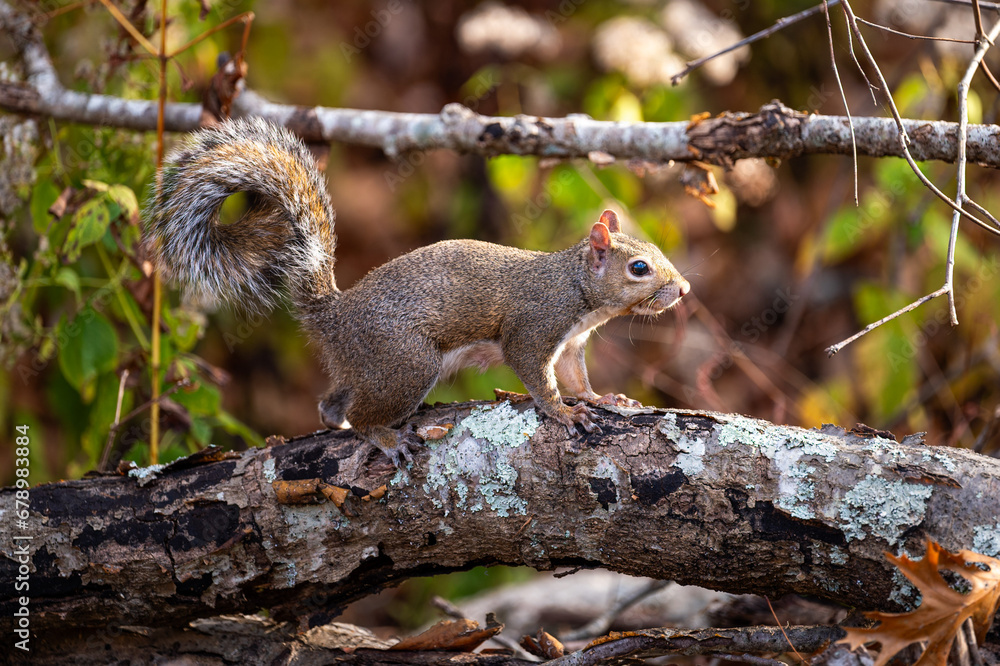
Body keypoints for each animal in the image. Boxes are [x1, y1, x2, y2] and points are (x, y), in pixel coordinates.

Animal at [146, 116, 688, 464]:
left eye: (656, 249)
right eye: (639, 267)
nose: (682, 289)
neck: (577, 289)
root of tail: (334, 315)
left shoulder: (572, 343)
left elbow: (576, 378)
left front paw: (602, 398)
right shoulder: (536, 327)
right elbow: (538, 376)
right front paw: (563, 414)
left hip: (371, 367)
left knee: (332, 405)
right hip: (406, 362)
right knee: (363, 412)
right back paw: (387, 438)